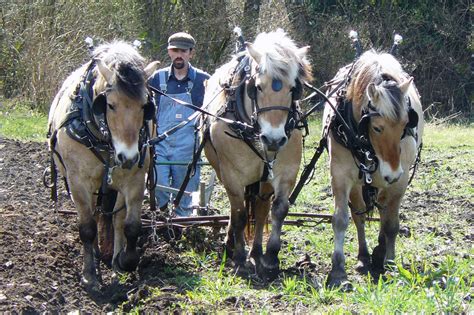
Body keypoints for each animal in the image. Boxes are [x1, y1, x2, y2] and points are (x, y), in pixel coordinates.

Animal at [47, 40, 159, 288]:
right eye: (110, 105)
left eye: (144, 106)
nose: (128, 157)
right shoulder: (78, 182)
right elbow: (87, 228)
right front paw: (89, 275)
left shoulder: (135, 179)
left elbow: (130, 226)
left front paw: (125, 262)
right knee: (94, 215)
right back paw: (96, 257)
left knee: (114, 218)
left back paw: (115, 261)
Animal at [203, 29, 312, 280]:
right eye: (258, 87)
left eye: (293, 88)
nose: (274, 139)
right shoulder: (232, 174)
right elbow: (240, 214)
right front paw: (239, 258)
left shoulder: (286, 171)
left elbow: (278, 209)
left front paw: (270, 258)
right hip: (222, 170)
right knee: (237, 208)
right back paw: (232, 244)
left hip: (264, 179)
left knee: (261, 208)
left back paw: (256, 252)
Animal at [324, 50, 424, 288]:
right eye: (377, 128)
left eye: (406, 123)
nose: (393, 172)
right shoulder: (340, 176)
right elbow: (341, 219)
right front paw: (338, 270)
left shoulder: (399, 182)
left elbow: (391, 224)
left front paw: (390, 263)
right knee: (359, 214)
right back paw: (364, 255)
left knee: (384, 211)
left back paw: (380, 251)